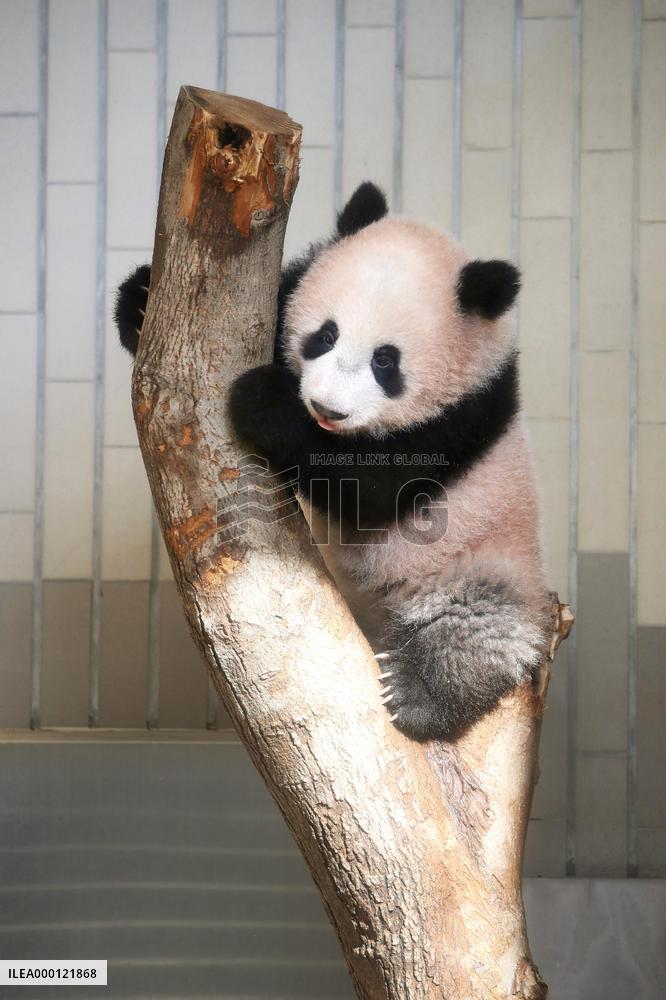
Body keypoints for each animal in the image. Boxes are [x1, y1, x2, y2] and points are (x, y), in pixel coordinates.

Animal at [116, 181, 551, 742]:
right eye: (325, 335)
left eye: (386, 361)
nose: (326, 408)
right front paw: (142, 299)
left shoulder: (461, 420)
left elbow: (369, 491)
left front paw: (265, 401)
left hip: (487, 564)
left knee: (478, 628)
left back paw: (416, 694)